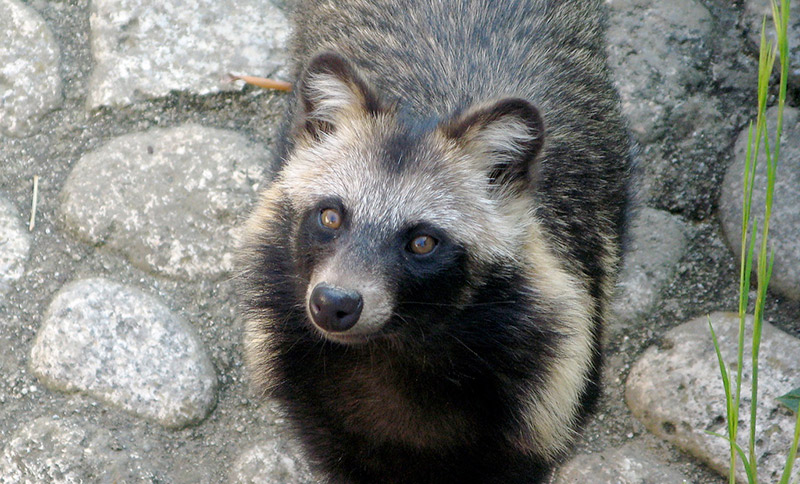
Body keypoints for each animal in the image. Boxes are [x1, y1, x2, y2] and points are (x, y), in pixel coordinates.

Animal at [236, 1, 632, 482]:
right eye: (330, 216)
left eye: (423, 242)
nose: (333, 303)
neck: (390, 350)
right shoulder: (310, 388)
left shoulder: (546, 393)